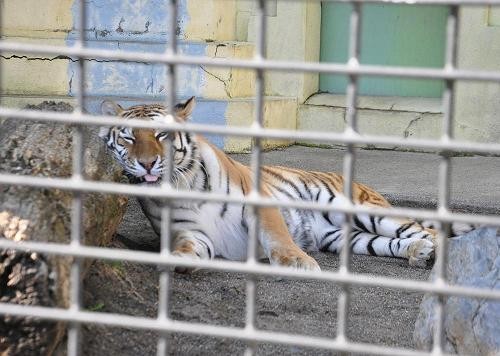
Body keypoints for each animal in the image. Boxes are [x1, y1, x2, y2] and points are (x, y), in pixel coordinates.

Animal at [99, 97, 474, 272]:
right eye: (129, 137)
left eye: (162, 135)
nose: (148, 163)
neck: (183, 185)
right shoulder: (191, 233)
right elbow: (189, 248)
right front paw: (177, 261)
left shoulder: (260, 205)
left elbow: (279, 239)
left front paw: (300, 264)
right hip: (344, 237)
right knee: (393, 242)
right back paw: (418, 253)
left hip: (366, 211)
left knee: (430, 231)